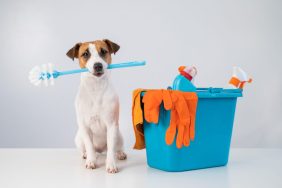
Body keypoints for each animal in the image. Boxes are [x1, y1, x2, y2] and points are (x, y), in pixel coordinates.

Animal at [66, 39, 126, 173]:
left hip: (119, 135)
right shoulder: (85, 127)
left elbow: (111, 148)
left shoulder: (111, 125)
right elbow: (89, 146)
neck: (96, 88)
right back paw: (86, 155)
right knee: (86, 148)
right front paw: (91, 161)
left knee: (116, 148)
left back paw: (120, 154)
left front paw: (111, 164)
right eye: (85, 54)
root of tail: (100, 150)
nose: (97, 65)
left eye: (103, 51)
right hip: (78, 139)